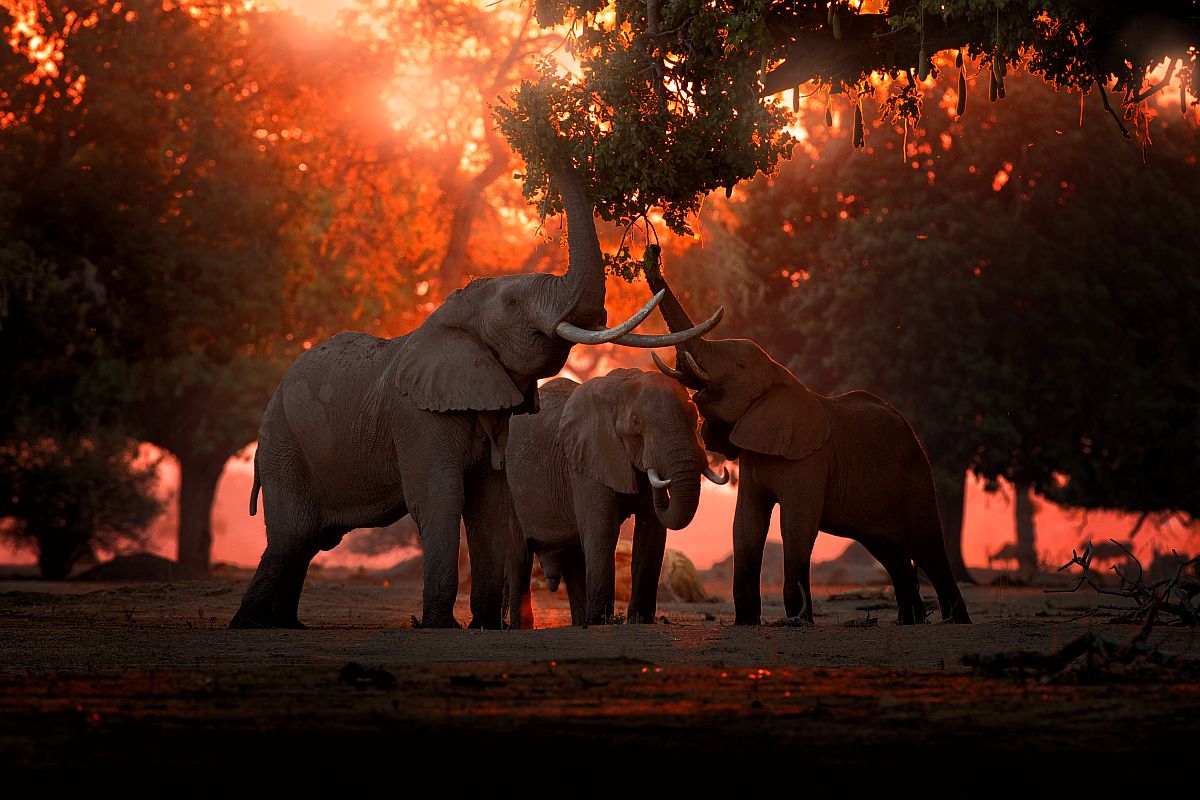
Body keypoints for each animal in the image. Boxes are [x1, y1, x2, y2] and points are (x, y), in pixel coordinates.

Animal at [504, 371, 724, 633]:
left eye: (695, 418)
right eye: (636, 423)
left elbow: (651, 531)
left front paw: (640, 620)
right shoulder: (586, 460)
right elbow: (603, 530)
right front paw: (601, 623)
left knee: (573, 556)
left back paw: (581, 623)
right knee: (519, 555)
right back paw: (525, 627)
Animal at [643, 266, 969, 628]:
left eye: (740, 366)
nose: (653, 258)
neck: (780, 375)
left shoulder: (810, 461)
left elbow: (796, 524)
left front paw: (800, 621)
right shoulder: (755, 456)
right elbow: (746, 524)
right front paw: (747, 622)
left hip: (916, 476)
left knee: (929, 548)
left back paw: (956, 621)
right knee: (891, 553)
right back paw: (911, 621)